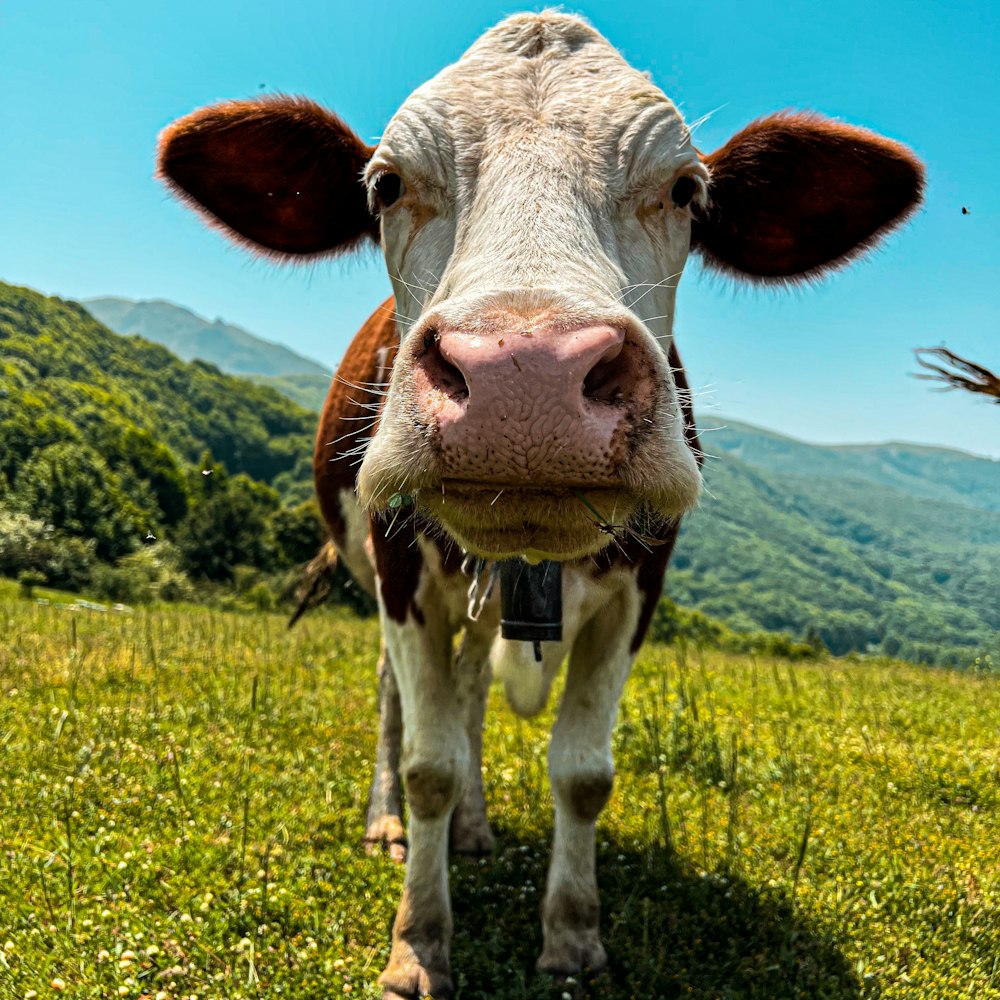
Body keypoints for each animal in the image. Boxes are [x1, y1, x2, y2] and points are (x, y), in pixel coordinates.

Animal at [156, 9, 920, 1000]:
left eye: (686, 191)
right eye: (385, 185)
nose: (526, 378)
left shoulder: (642, 583)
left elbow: (582, 772)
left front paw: (573, 937)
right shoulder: (399, 568)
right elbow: (428, 760)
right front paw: (418, 943)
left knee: (473, 686)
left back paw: (478, 827)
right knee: (401, 700)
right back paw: (388, 822)